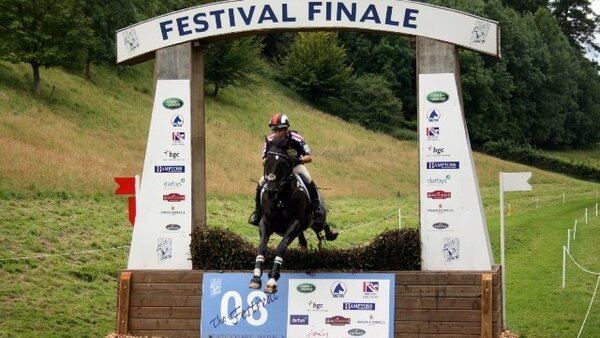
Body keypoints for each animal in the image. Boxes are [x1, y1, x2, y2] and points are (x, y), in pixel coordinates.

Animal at [247, 135, 332, 294]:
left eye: (283, 164)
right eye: (267, 161)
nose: (270, 190)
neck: (280, 197)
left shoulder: (294, 224)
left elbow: (281, 248)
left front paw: (272, 279)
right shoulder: (265, 222)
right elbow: (262, 247)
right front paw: (255, 278)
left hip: (317, 221)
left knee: (322, 225)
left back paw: (331, 234)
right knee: (303, 239)